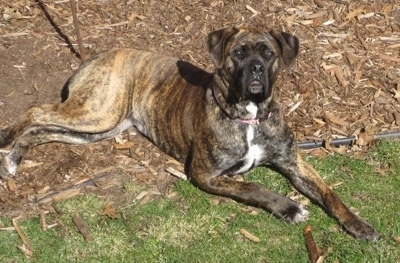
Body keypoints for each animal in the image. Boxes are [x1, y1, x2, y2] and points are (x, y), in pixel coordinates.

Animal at [0, 26, 382, 241]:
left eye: (269, 53)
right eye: (238, 53)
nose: (255, 68)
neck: (250, 118)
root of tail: (95, 57)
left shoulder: (294, 163)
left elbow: (330, 193)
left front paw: (359, 225)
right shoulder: (205, 174)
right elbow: (254, 187)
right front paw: (289, 208)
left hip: (99, 128)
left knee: (44, 131)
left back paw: (16, 157)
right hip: (97, 111)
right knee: (36, 113)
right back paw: (9, 146)